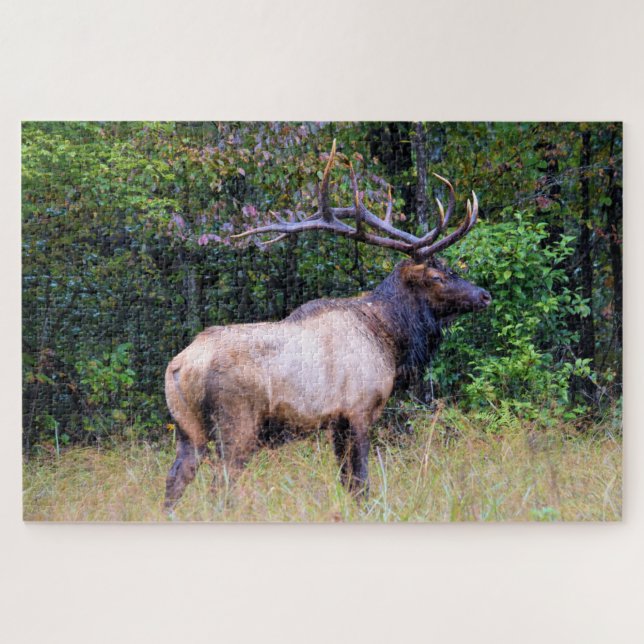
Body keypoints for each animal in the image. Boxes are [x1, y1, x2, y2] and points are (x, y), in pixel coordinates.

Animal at [163, 141, 491, 511]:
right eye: (437, 276)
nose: (484, 295)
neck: (390, 341)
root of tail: (179, 367)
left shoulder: (336, 421)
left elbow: (346, 481)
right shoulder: (359, 409)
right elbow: (361, 481)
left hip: (187, 427)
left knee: (176, 480)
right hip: (237, 423)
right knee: (221, 486)